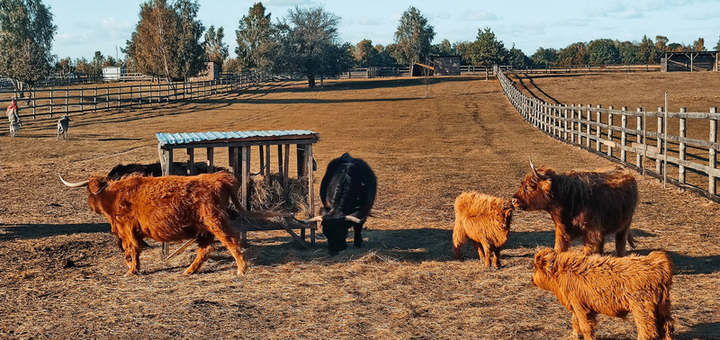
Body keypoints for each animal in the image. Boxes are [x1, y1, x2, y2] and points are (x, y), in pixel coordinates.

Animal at [62, 171, 253, 274]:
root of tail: (217, 178)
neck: (113, 195)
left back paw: (241, 269)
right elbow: (131, 250)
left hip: (216, 221)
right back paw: (189, 270)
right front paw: (132, 266)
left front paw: (131, 270)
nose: (90, 206)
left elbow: (132, 248)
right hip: (204, 229)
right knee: (205, 249)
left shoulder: (127, 228)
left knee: (231, 241)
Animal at [510, 162, 640, 255]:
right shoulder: (561, 229)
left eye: (529, 186)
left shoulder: (591, 231)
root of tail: (625, 170)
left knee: (620, 243)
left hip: (625, 224)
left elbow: (589, 250)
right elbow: (559, 248)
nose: (514, 200)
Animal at [528, 247, 676, 340]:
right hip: (662, 307)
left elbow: (585, 327)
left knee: (647, 331)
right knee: (667, 326)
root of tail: (656, 264)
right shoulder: (577, 306)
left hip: (642, 309)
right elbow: (575, 323)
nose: (531, 279)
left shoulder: (580, 306)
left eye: (535, 267)